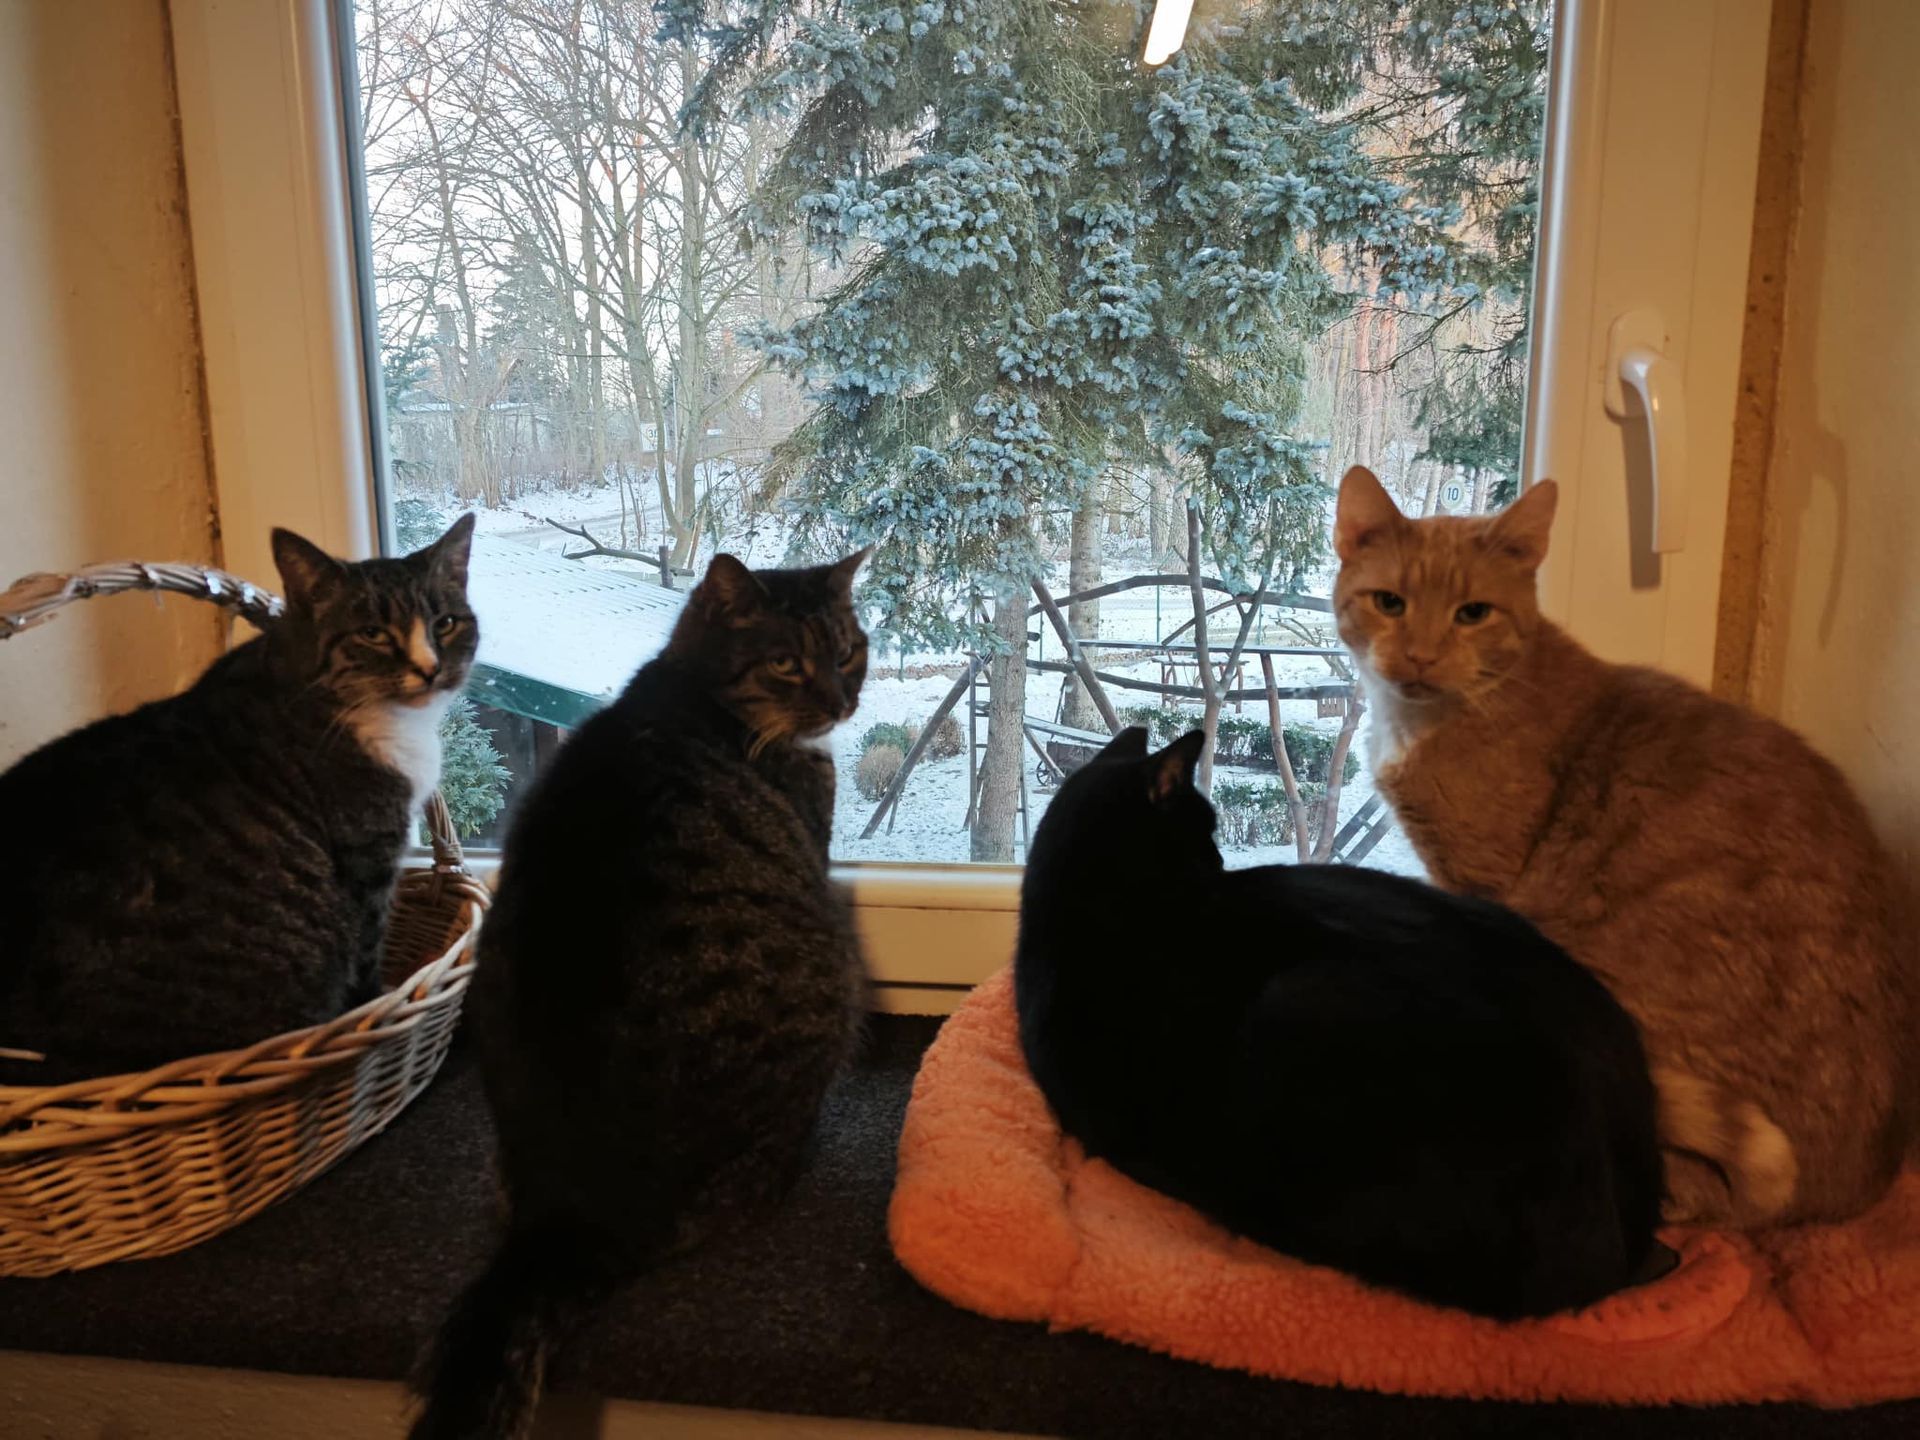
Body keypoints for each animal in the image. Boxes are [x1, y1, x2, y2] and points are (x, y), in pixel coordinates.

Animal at [0, 517, 478, 1081]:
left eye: (446, 623)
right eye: (372, 633)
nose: (430, 668)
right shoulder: (369, 859)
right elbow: (366, 962)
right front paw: (373, 1008)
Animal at [410, 550, 871, 1440]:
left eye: (849, 650)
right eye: (787, 661)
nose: (842, 701)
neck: (697, 689)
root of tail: (563, 1219)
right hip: (830, 984)